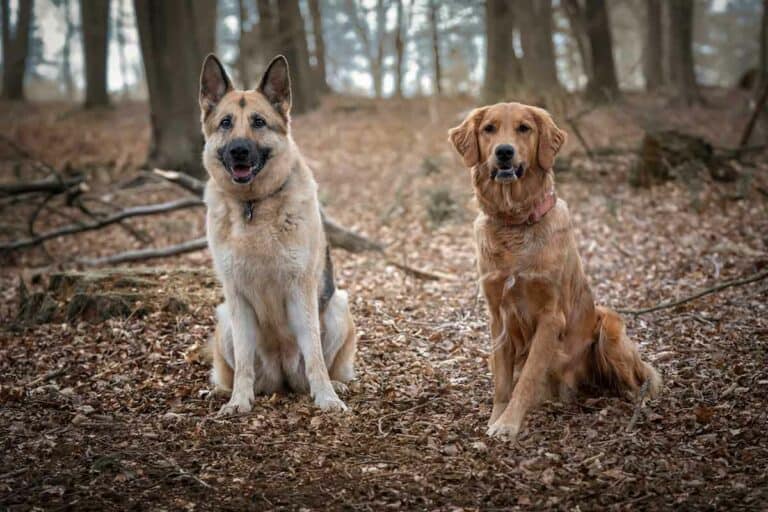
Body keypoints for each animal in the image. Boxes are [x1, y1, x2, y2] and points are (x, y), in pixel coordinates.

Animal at [198, 55, 354, 416]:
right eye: (225, 123)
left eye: (259, 122)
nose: (239, 151)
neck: (253, 205)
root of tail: (281, 377)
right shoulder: (237, 297)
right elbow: (243, 361)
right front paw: (239, 401)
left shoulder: (301, 289)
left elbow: (315, 355)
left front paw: (327, 397)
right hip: (225, 318)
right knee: (235, 371)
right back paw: (224, 391)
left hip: (338, 307)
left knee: (321, 363)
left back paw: (334, 384)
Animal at [450, 102, 660, 438]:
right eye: (489, 129)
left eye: (524, 128)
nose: (504, 152)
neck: (515, 223)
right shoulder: (498, 316)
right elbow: (502, 382)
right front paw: (496, 419)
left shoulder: (550, 316)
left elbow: (528, 376)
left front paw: (509, 424)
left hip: (609, 326)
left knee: (636, 379)